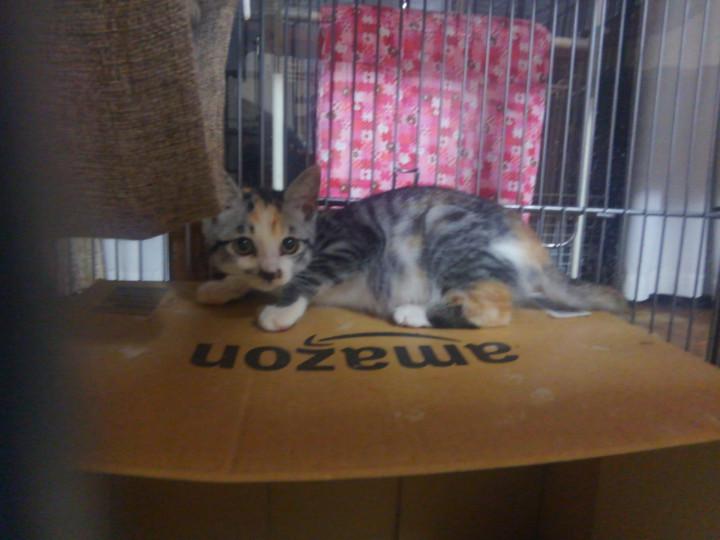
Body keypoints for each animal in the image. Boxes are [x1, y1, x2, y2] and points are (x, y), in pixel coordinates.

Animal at [198, 165, 627, 331]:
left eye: (289, 244)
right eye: (243, 245)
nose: (271, 271)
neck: (320, 229)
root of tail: (539, 250)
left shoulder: (357, 240)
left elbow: (306, 276)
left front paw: (282, 308)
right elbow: (246, 279)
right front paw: (221, 285)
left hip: (443, 221)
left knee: (496, 309)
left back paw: (416, 313)